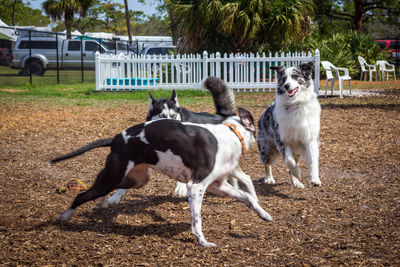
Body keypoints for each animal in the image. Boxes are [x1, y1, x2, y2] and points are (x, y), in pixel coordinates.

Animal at [56, 107, 272, 247]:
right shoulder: (196, 186)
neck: (231, 134)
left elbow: (247, 196)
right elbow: (197, 219)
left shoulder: (217, 186)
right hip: (112, 177)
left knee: (110, 190)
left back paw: (103, 203)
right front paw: (202, 241)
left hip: (136, 180)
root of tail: (116, 138)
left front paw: (264, 214)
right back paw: (65, 216)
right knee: (81, 195)